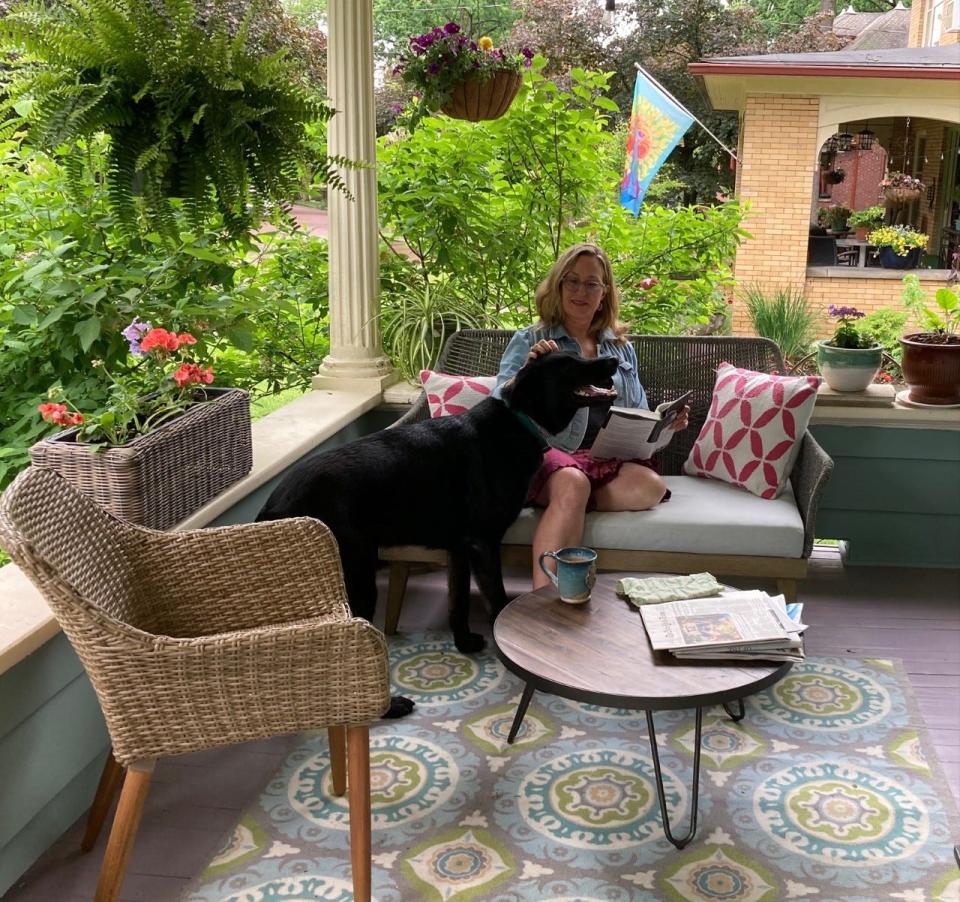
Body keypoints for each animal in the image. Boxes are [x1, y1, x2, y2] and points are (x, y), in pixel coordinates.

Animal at [256, 354, 616, 712]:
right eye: (569, 364)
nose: (613, 359)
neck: (520, 420)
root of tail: (272, 505)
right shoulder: (483, 543)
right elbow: (497, 600)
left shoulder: (459, 549)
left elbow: (458, 601)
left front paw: (464, 642)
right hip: (357, 573)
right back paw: (391, 706)